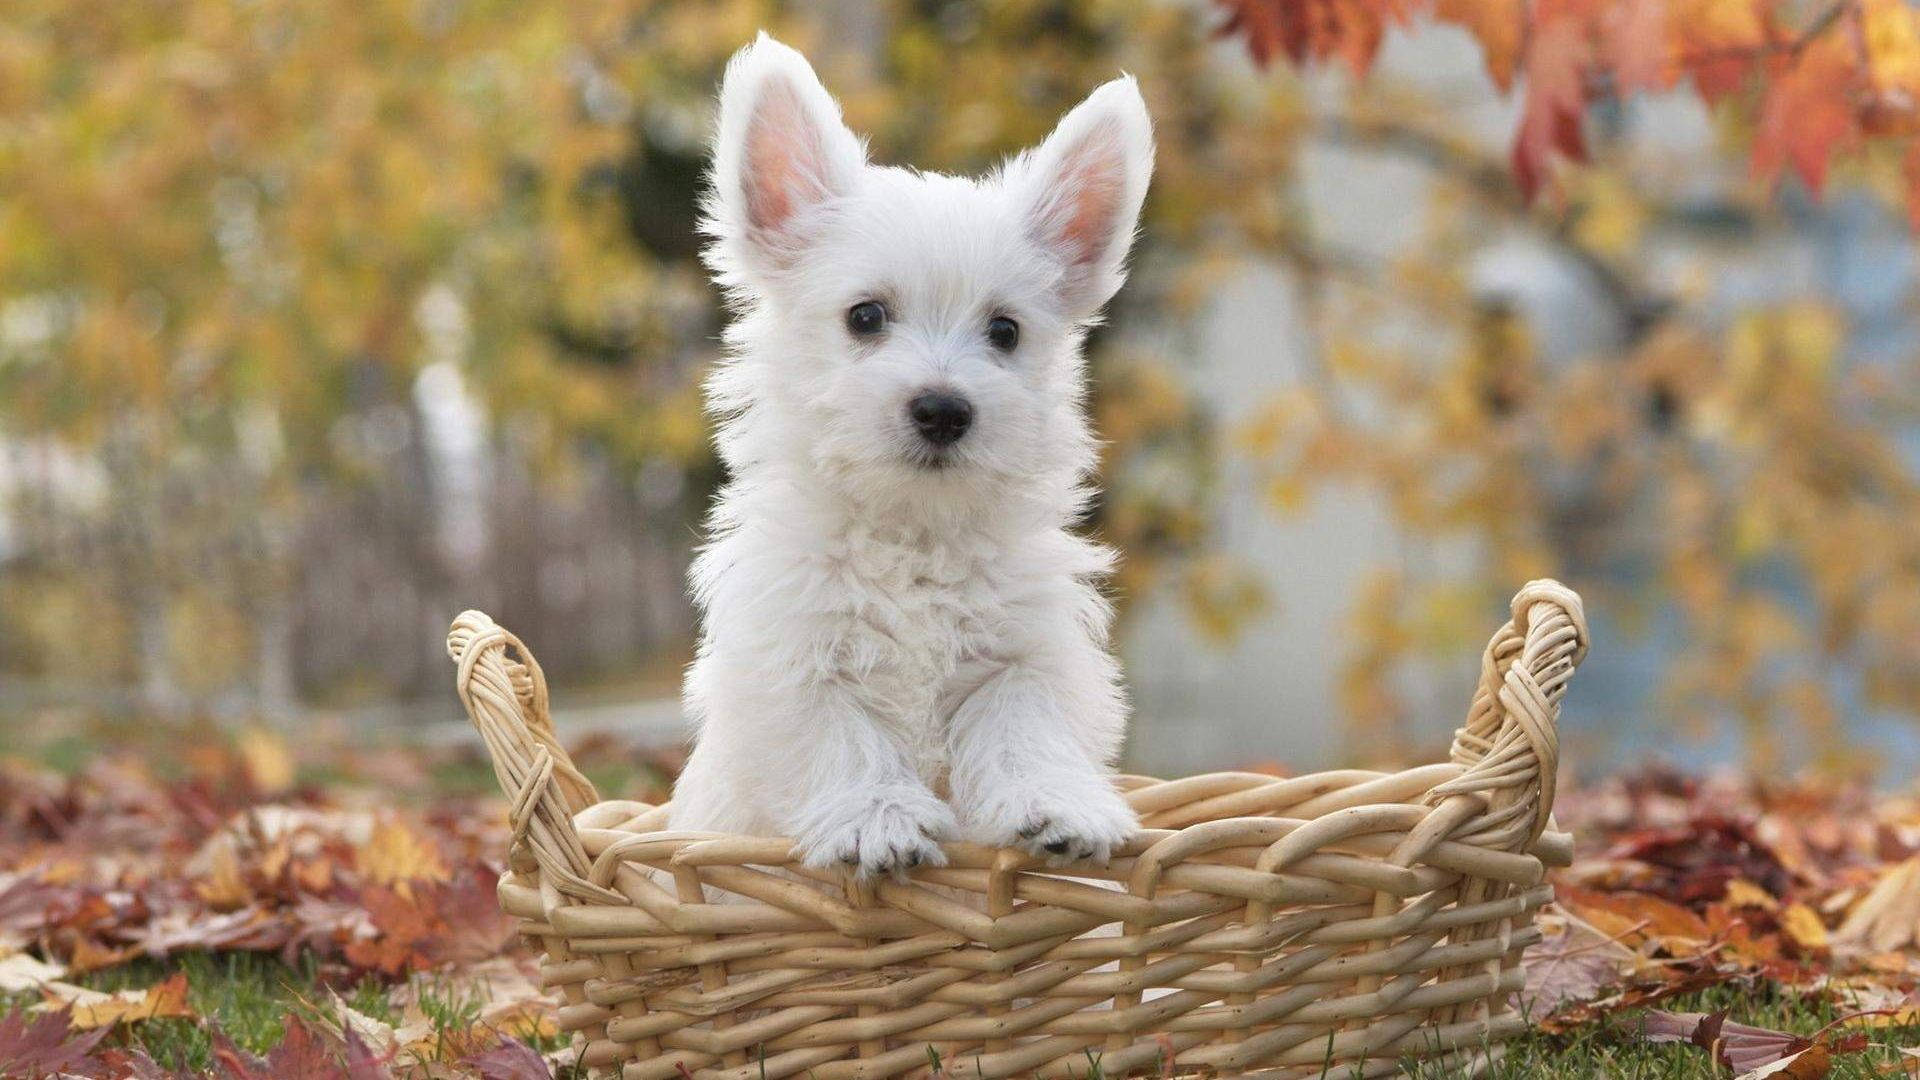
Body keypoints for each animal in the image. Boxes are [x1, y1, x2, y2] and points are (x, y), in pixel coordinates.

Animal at [675, 33, 1152, 876]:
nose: (943, 410)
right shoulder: (793, 658)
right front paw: (879, 819)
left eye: (1005, 331)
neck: (912, 533)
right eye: (865, 316)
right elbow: (843, 739)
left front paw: (1059, 807)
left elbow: (1023, 727)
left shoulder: (1025, 653)